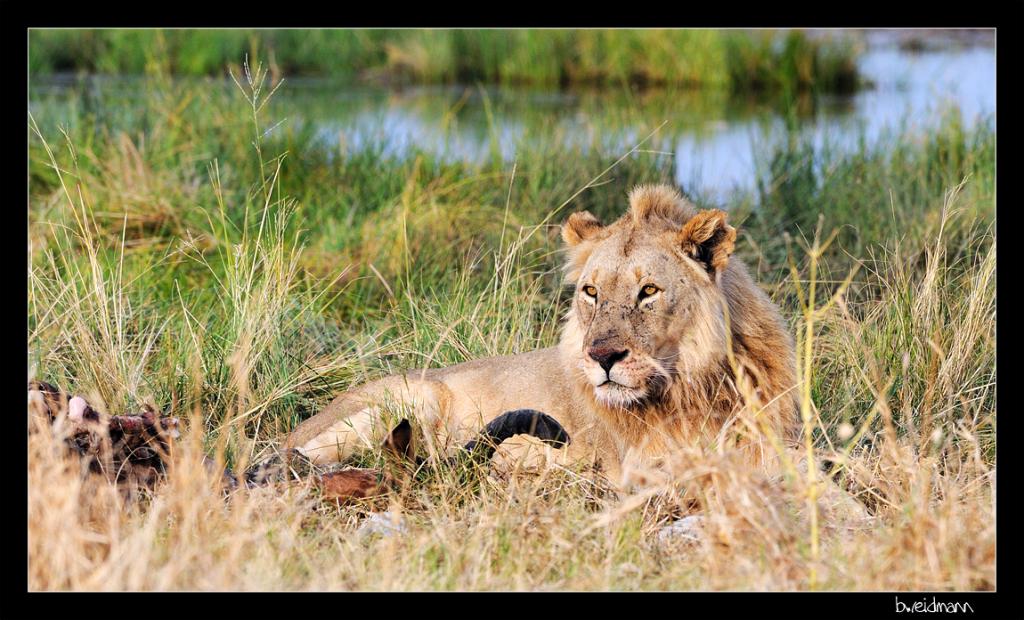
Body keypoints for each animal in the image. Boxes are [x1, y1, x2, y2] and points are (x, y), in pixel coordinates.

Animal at [283, 184, 810, 493]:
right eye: (591, 292)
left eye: (649, 291)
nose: (603, 356)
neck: (694, 386)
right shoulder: (634, 463)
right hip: (409, 400)